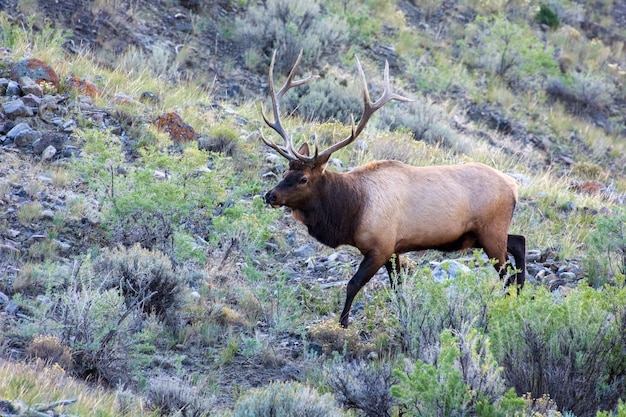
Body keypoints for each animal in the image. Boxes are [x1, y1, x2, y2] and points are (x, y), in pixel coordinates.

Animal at [258, 50, 520, 326]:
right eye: (285, 172)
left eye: (303, 179)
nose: (270, 195)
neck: (351, 211)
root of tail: (513, 186)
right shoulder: (394, 249)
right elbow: (397, 287)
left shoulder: (381, 247)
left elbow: (353, 284)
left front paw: (343, 323)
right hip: (483, 235)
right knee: (518, 243)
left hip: (491, 232)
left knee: (509, 274)